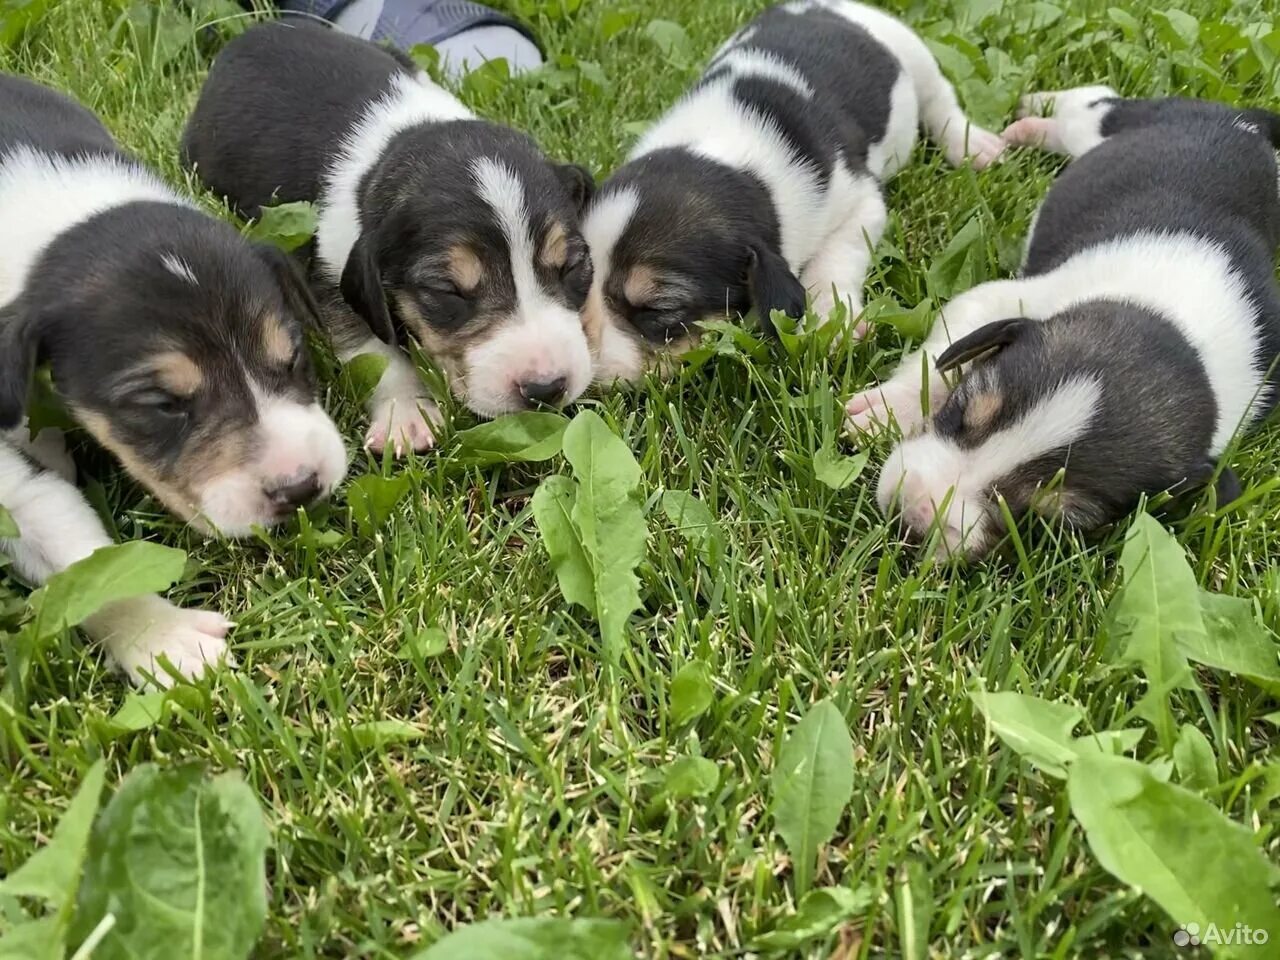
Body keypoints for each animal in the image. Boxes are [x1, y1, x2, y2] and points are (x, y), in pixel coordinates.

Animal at [180, 20, 593, 455]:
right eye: (448, 291)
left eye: (572, 266)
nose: (546, 389)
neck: (403, 138)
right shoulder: (332, 278)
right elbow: (375, 351)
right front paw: (406, 415)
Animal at [581, 0, 1008, 384]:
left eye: (658, 310)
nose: (583, 374)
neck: (722, 151)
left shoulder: (860, 200)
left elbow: (836, 257)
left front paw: (833, 318)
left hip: (914, 54)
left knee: (940, 98)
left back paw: (973, 145)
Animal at [844, 90, 1280, 560]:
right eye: (961, 412)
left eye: (1049, 517)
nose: (908, 516)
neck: (1178, 324)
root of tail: (1243, 122)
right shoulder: (1002, 301)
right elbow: (936, 361)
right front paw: (881, 412)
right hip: (1107, 121)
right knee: (1090, 101)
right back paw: (1034, 115)